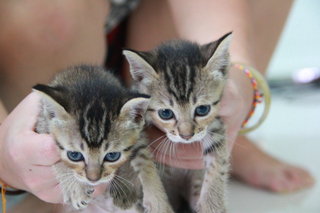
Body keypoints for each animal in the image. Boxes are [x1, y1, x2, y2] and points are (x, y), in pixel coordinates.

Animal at [34, 65, 174, 212]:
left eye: (112, 156)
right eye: (74, 155)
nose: (93, 179)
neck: (90, 85)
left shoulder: (138, 132)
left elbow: (144, 158)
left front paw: (158, 200)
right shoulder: (43, 124)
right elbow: (57, 160)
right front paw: (76, 189)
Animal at [124, 32, 231, 212]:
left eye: (202, 110)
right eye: (166, 113)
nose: (186, 136)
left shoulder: (214, 125)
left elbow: (219, 158)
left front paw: (211, 205)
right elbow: (142, 157)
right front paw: (158, 201)